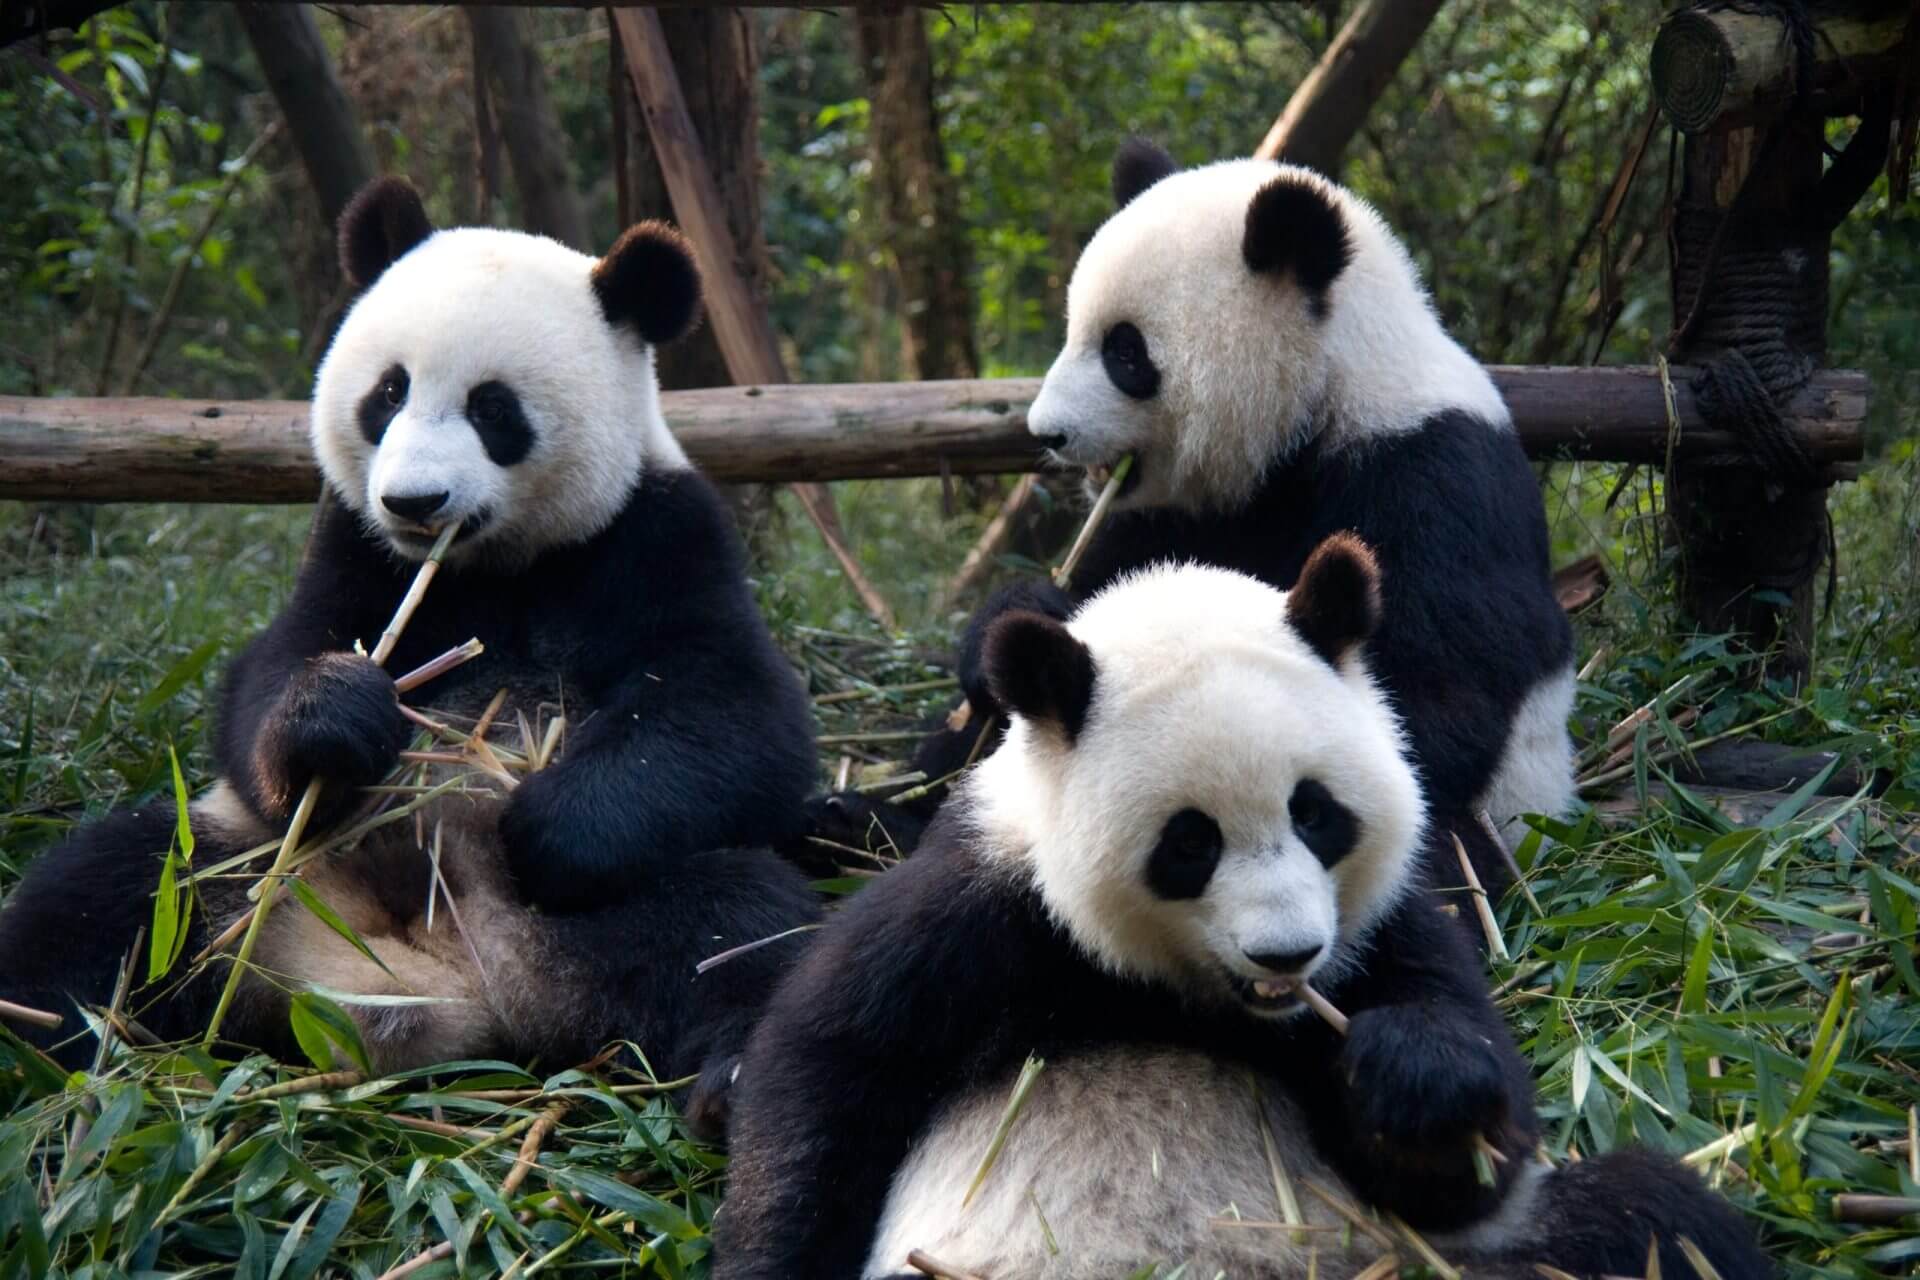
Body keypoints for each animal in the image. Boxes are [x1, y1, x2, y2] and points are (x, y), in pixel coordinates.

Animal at [0, 178, 820, 1104]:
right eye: (388, 393)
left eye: (494, 409)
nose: (414, 502)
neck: (492, 561)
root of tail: (444, 981)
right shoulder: (356, 543)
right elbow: (269, 676)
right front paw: (336, 720)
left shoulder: (656, 531)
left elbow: (739, 716)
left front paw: (545, 823)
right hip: (242, 874)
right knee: (109, 889)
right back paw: (39, 1041)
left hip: (624, 914)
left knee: (739, 928)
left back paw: (734, 1083)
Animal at [719, 545, 1765, 1280]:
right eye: (1190, 844)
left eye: (1315, 812)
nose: (1288, 956)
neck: (1186, 996)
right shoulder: (986, 908)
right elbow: (830, 1064)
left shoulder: (1382, 925)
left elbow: (1474, 1155)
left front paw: (1413, 1078)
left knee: (1653, 1225)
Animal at [807, 140, 1574, 902]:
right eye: (1073, 331)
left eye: (1124, 351)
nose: (1047, 433)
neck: (1327, 396)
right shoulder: (1174, 511)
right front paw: (1017, 618)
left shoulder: (1431, 481)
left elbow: (1430, 697)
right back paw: (854, 822)